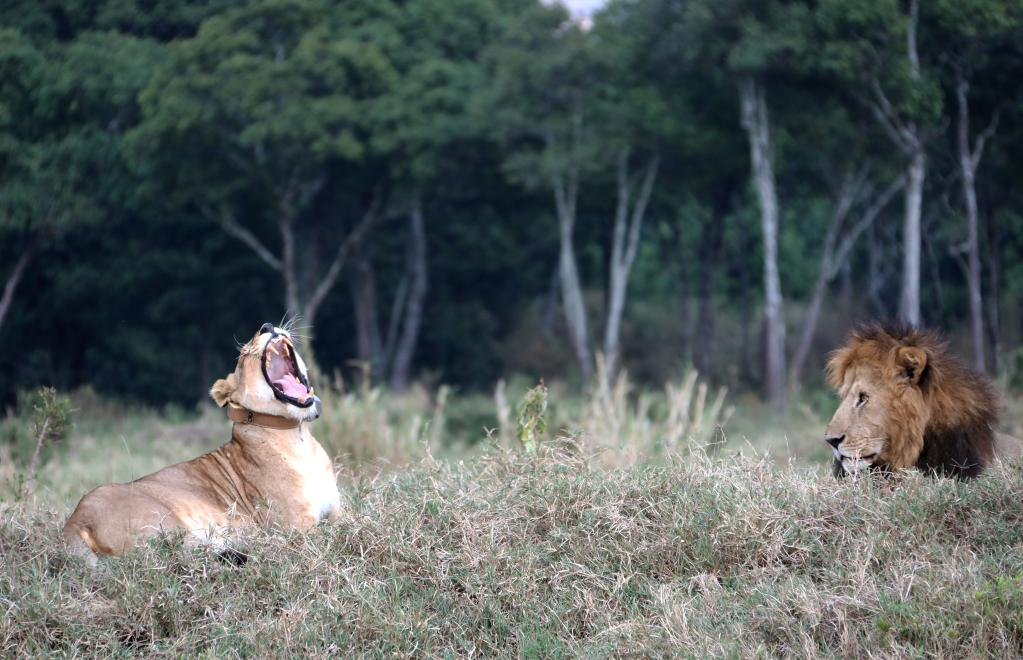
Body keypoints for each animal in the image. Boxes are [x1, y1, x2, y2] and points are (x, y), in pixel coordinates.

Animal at [64, 321, 343, 564]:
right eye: (243, 355)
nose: (267, 326)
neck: (298, 435)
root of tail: (75, 522)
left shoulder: (337, 511)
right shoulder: (297, 526)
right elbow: (332, 536)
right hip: (166, 521)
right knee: (180, 554)